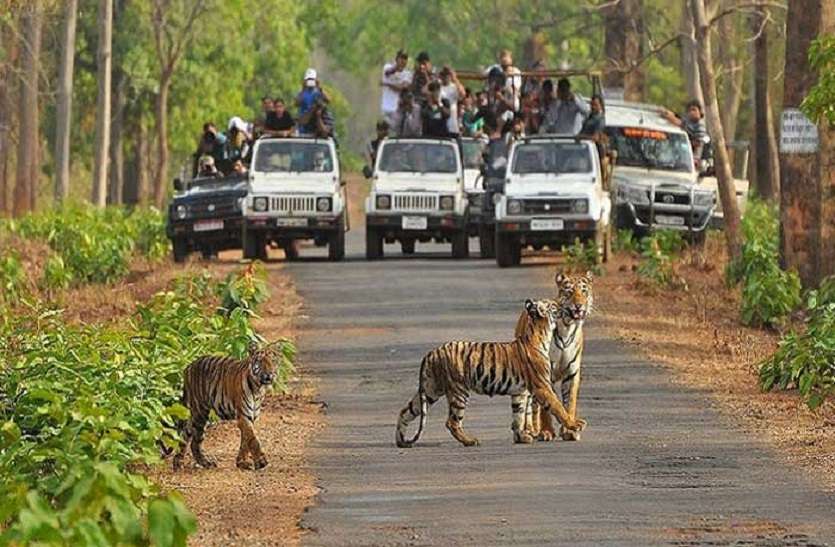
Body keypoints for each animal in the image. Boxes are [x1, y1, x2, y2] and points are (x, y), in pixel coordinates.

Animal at [173, 342, 280, 470]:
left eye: (273, 360)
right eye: (260, 361)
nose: (269, 374)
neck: (258, 388)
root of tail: (188, 366)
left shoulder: (251, 416)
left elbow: (245, 440)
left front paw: (242, 462)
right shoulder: (243, 416)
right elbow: (253, 439)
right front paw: (261, 461)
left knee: (189, 436)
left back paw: (190, 462)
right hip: (199, 412)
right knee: (191, 438)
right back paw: (188, 463)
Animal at [396, 300, 584, 450]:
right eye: (554, 305)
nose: (564, 306)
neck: (541, 334)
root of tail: (432, 352)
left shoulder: (519, 392)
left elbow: (518, 415)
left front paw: (521, 437)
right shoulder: (542, 386)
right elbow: (558, 407)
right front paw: (575, 424)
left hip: (430, 390)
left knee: (405, 411)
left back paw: (401, 441)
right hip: (458, 390)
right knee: (452, 422)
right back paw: (470, 441)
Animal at [516, 272, 596, 444]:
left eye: (584, 291)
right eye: (569, 292)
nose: (579, 305)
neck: (567, 327)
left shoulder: (572, 373)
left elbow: (569, 403)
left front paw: (569, 431)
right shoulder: (546, 374)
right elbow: (547, 407)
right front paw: (547, 432)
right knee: (530, 405)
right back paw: (530, 430)